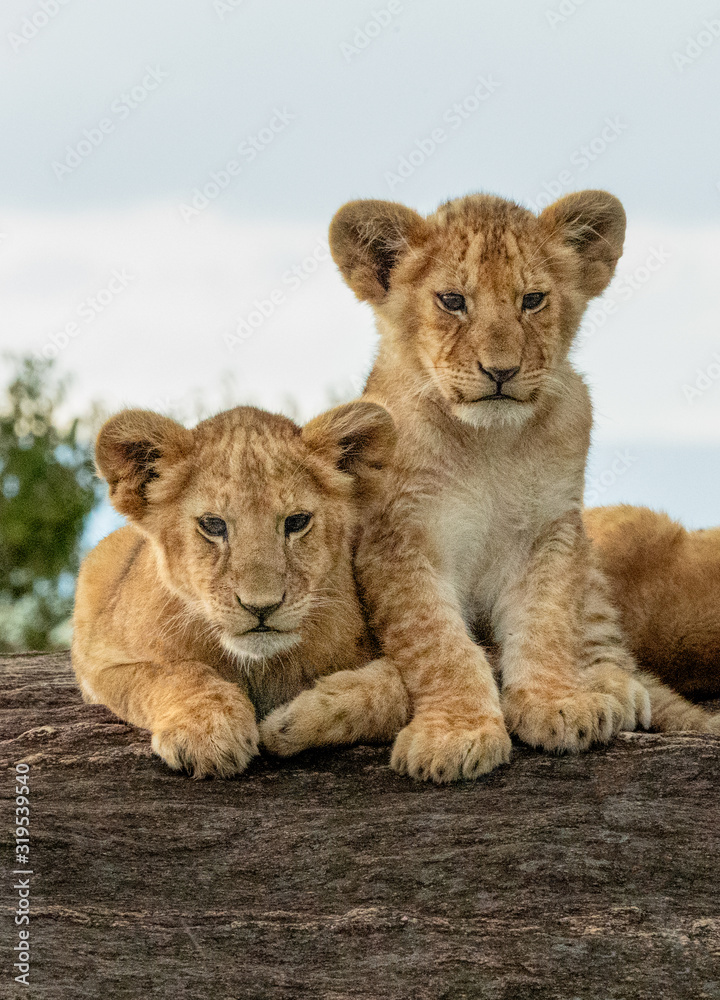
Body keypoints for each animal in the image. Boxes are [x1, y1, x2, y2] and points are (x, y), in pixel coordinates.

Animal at [71, 400, 404, 777]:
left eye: (297, 521)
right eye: (213, 525)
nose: (262, 607)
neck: (258, 667)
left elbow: (395, 687)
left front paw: (290, 722)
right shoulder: (100, 659)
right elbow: (172, 673)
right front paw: (208, 733)